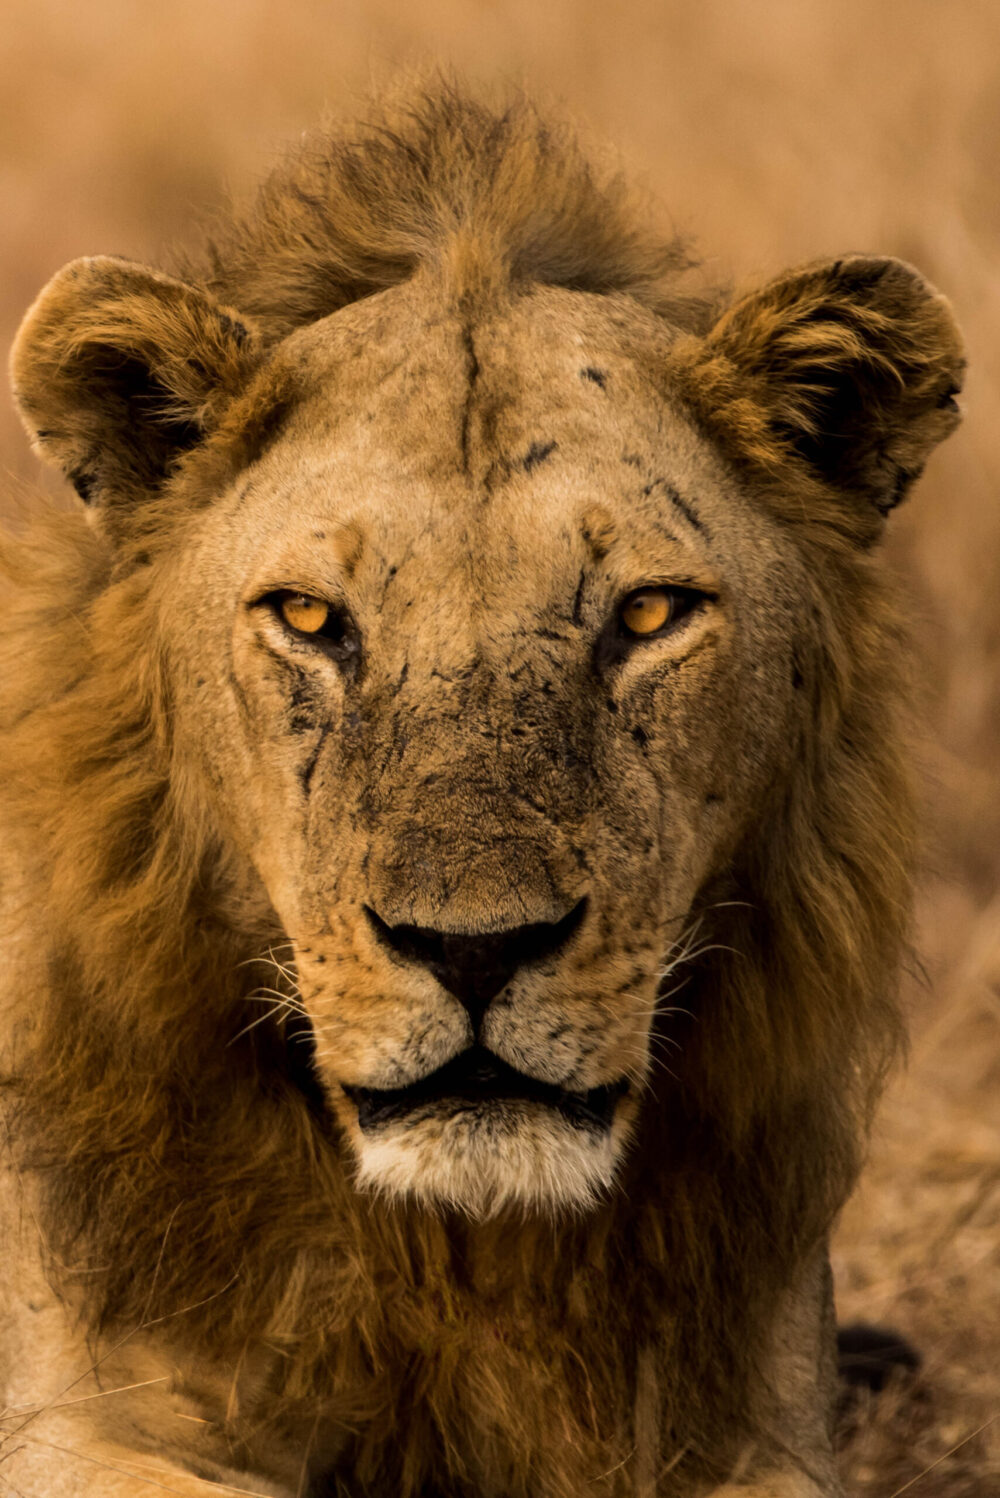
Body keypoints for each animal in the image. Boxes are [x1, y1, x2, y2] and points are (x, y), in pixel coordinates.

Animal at [0, 85, 964, 1498]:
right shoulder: (72, 1417)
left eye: (646, 614)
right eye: (310, 618)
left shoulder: (768, 1424)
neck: (461, 1253)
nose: (473, 950)